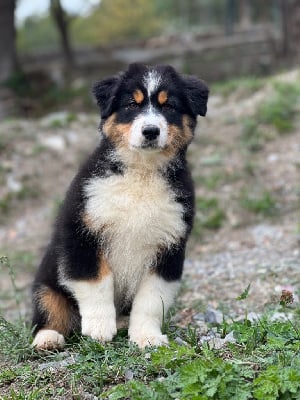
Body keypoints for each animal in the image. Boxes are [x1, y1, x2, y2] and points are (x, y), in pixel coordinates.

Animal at [31, 63, 209, 350]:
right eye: (131, 104)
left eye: (169, 106)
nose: (151, 131)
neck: (141, 173)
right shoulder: (82, 233)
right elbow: (97, 284)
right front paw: (99, 329)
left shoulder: (169, 247)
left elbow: (151, 299)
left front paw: (146, 336)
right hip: (46, 284)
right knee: (48, 308)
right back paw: (48, 338)